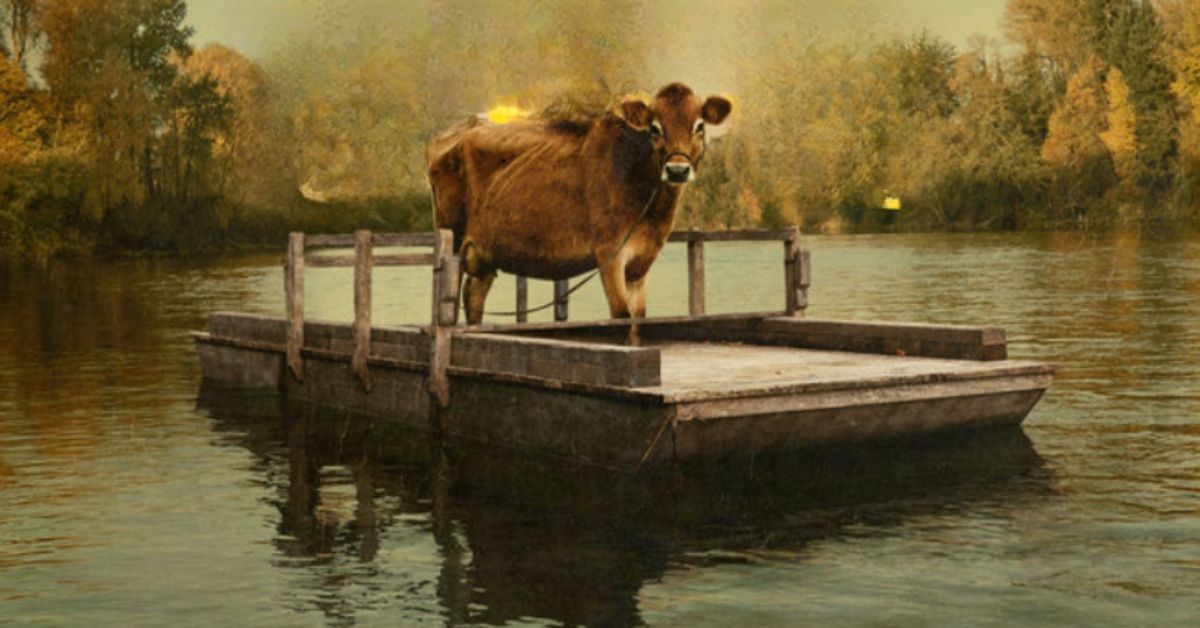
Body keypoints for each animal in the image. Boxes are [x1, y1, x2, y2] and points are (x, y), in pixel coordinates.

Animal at [426, 82, 732, 341]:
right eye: (654, 128)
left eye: (699, 125)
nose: (677, 170)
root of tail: (455, 131)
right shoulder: (610, 254)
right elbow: (620, 317)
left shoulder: (641, 262)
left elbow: (638, 321)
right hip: (453, 237)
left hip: (486, 251)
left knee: (474, 296)